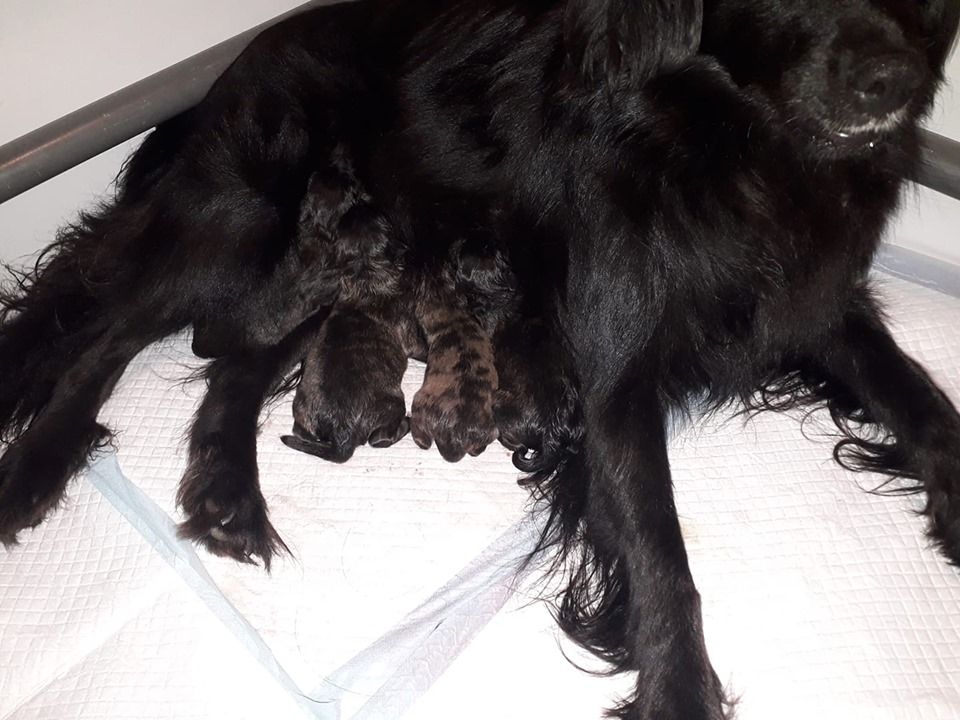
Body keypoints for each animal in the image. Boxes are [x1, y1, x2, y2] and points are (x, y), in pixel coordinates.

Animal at [1, 1, 960, 720]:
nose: (893, 81)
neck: (732, 147)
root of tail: (241, 56)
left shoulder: (808, 301)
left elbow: (917, 397)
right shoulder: (612, 378)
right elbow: (661, 552)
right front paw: (680, 693)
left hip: (320, 273)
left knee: (232, 362)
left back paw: (226, 497)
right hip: (234, 228)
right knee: (107, 331)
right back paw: (36, 466)